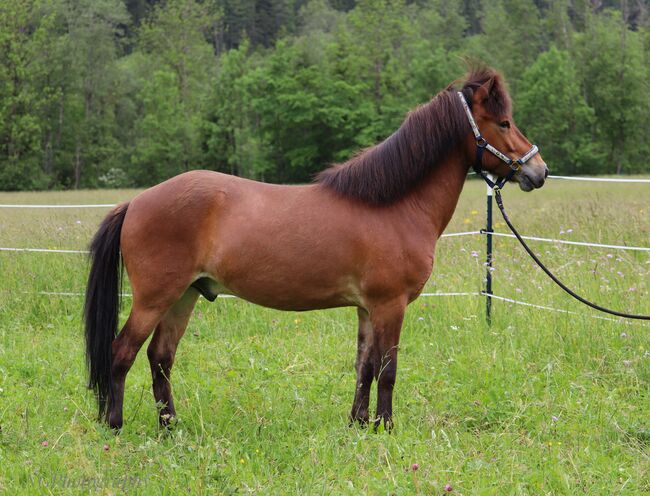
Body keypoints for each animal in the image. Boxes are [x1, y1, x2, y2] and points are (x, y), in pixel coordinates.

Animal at [83, 67, 544, 430]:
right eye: (503, 122)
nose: (539, 171)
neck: (393, 205)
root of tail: (136, 202)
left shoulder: (367, 309)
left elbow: (365, 367)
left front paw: (359, 423)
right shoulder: (390, 305)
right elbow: (388, 371)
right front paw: (386, 427)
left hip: (185, 295)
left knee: (160, 358)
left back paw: (170, 426)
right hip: (155, 297)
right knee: (122, 352)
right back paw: (115, 425)